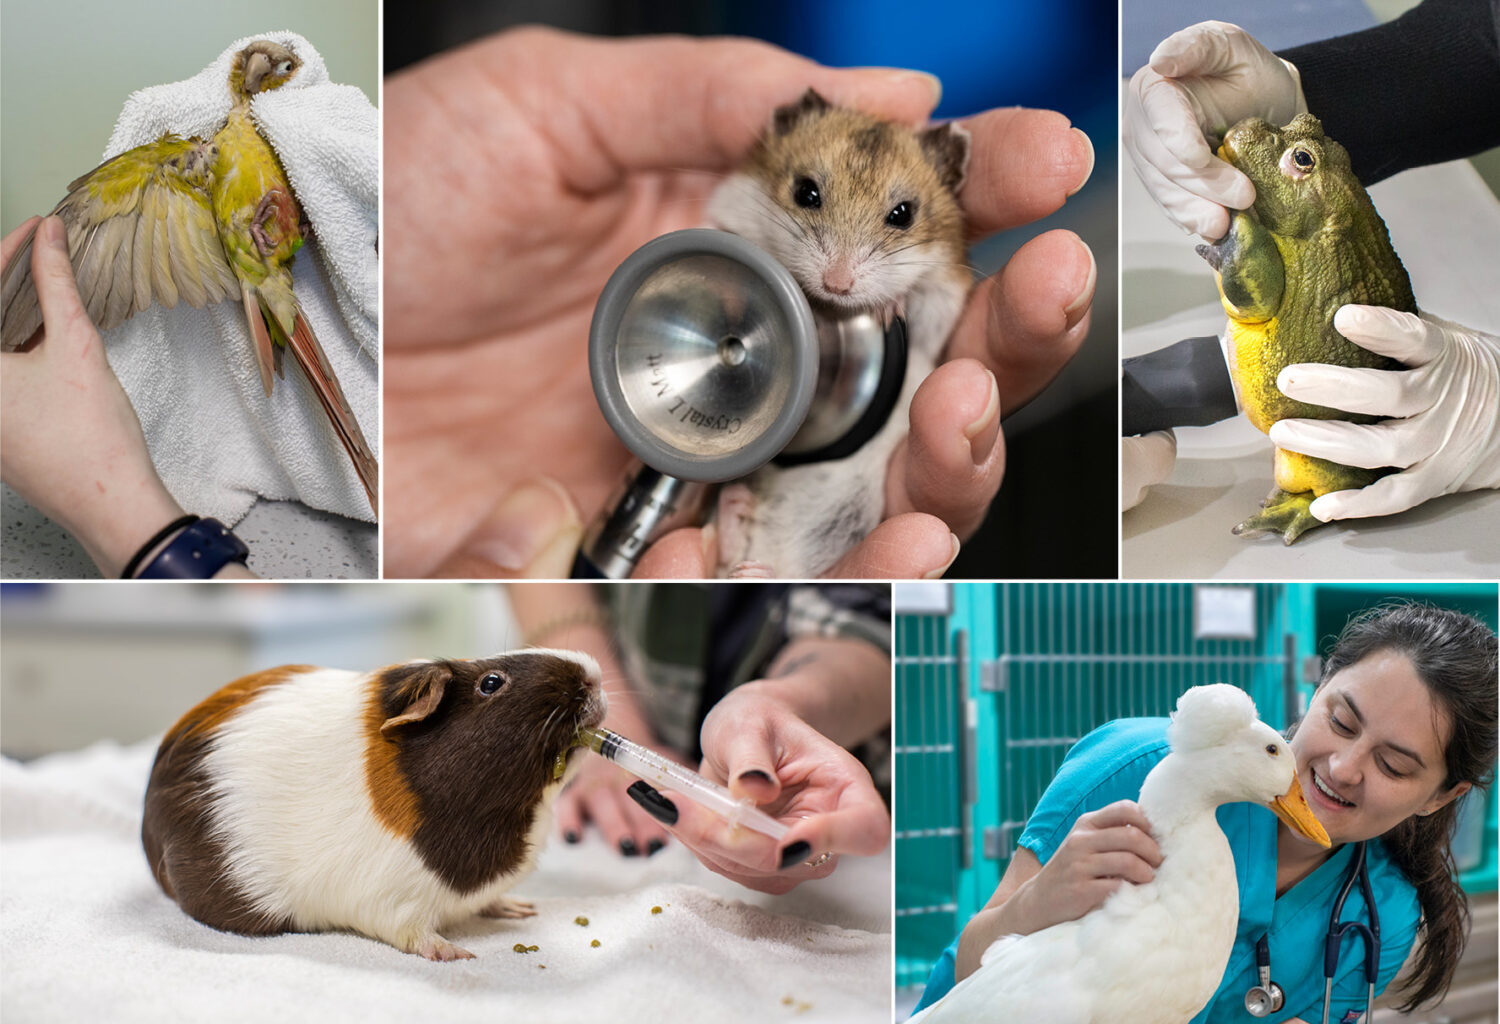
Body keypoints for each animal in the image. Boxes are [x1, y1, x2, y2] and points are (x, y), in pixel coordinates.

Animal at [140, 649, 605, 961]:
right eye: (491, 682)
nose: (594, 674)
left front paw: (518, 909)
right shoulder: (391, 902)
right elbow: (415, 934)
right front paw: (456, 954)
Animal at [704, 88, 972, 578]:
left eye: (903, 214)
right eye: (805, 192)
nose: (837, 284)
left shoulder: (944, 299)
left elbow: (920, 310)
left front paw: (887, 308)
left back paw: (751, 555)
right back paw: (738, 520)